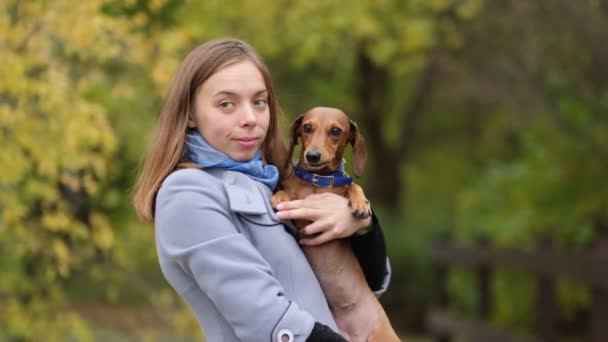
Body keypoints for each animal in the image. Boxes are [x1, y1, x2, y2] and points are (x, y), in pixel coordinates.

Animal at [272, 107, 400, 342]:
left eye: (335, 131)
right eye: (307, 127)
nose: (312, 156)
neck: (317, 181)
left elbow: (353, 185)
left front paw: (360, 203)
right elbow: (285, 190)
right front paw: (279, 197)